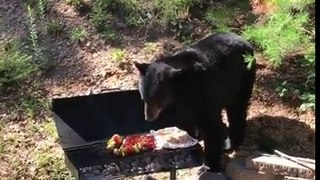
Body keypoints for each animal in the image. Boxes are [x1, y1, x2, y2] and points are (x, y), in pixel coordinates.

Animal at [134, 32, 256, 173]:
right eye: (144, 98)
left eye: (155, 99)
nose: (148, 117)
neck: (180, 88)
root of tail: (245, 41)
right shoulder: (180, 103)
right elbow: (186, 119)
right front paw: (193, 135)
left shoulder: (203, 91)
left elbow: (212, 125)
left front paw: (208, 165)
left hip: (241, 79)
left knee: (237, 110)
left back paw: (231, 143)